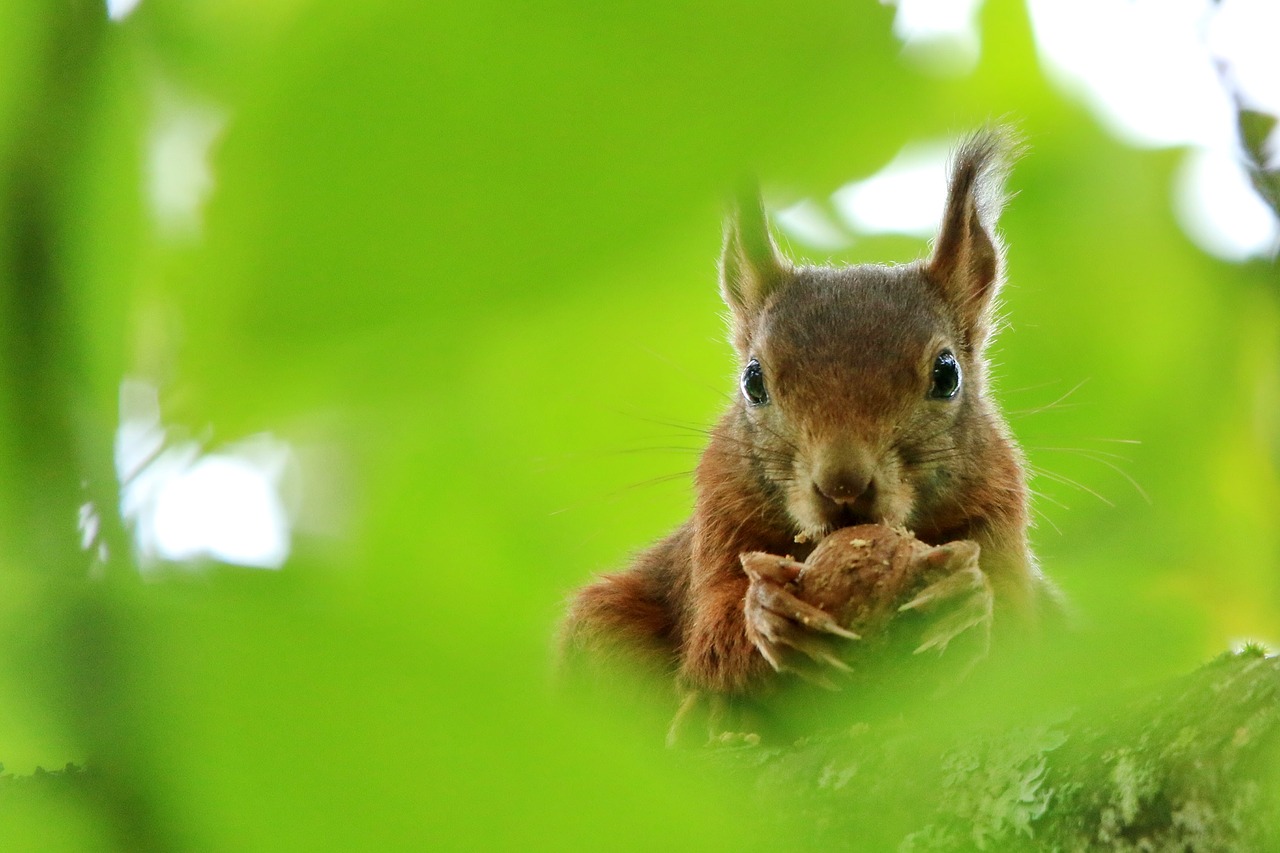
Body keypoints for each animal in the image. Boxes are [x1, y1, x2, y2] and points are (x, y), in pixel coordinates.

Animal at [560, 129, 1059, 706]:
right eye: (753, 381)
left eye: (947, 373)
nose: (843, 486)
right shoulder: (719, 518)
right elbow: (711, 642)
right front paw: (769, 613)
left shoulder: (999, 508)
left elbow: (1017, 637)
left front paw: (967, 599)